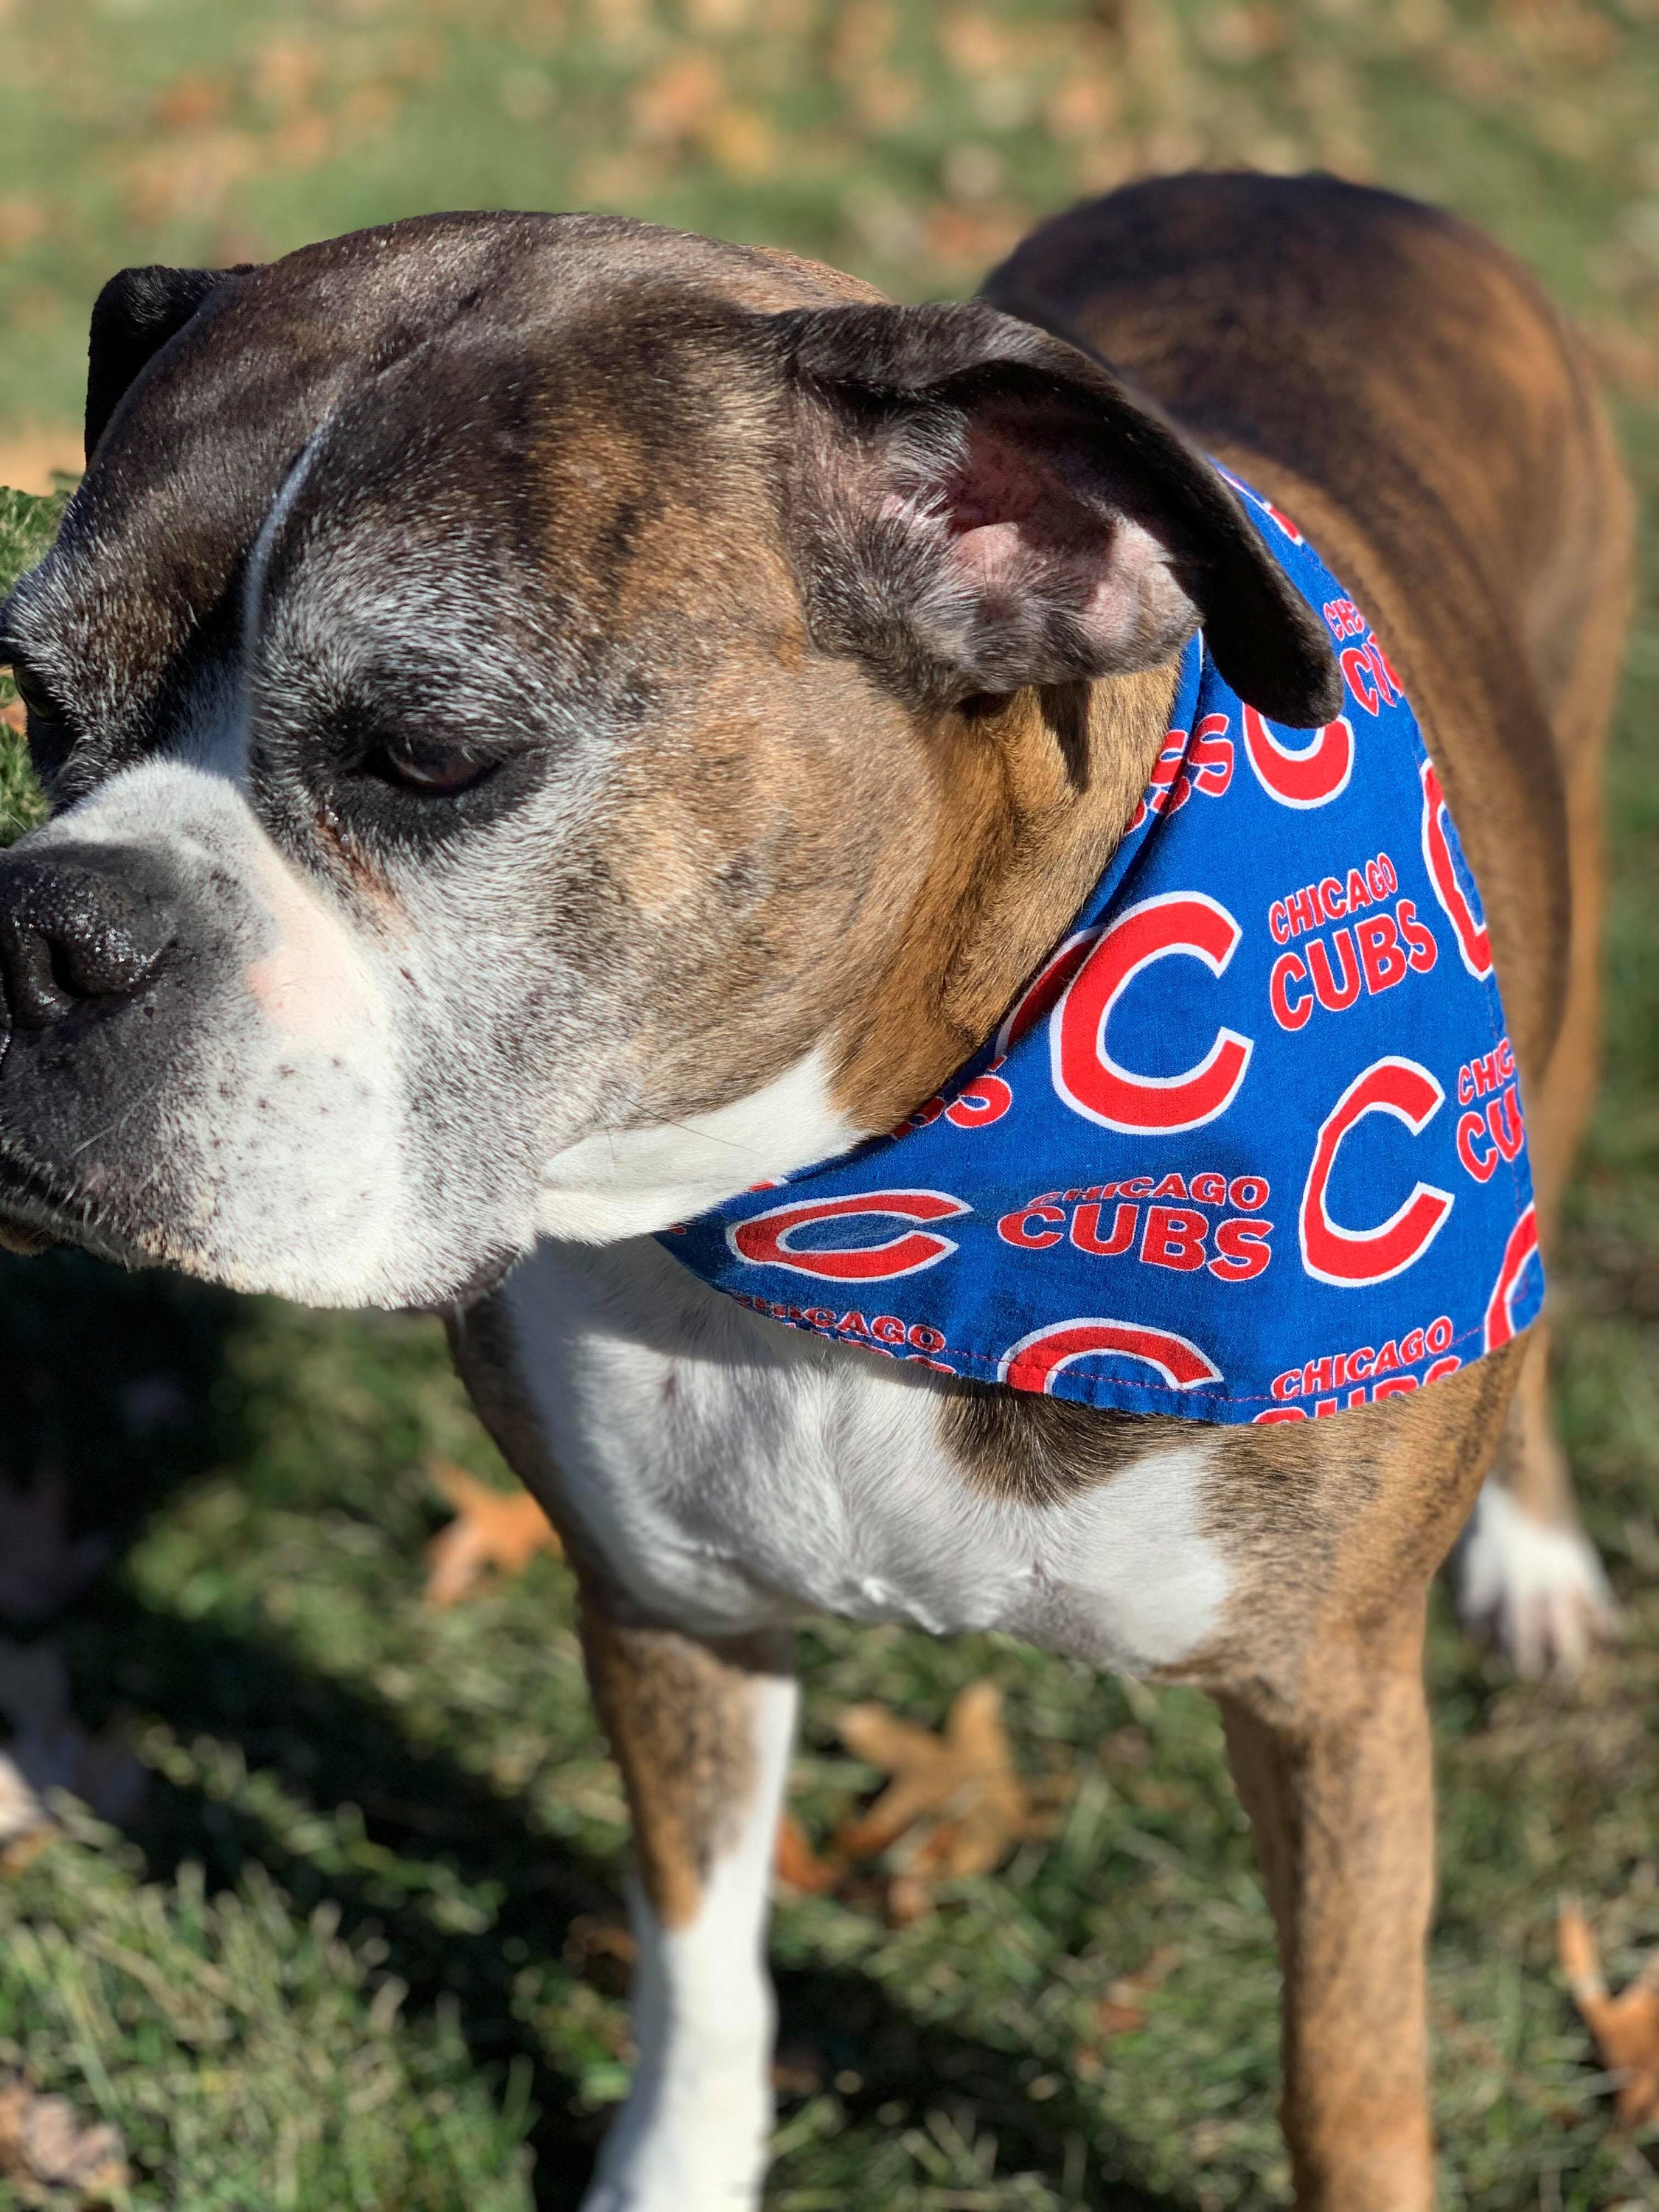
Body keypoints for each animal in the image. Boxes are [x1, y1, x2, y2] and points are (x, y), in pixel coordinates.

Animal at [0, 177, 1637, 2212]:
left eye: (429, 756)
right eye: (34, 700)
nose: (42, 932)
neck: (865, 1217)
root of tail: (1322, 191)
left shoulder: (1328, 1708)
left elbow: (1346, 2079)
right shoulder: (665, 1610)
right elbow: (701, 1958)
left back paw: (1539, 1556)